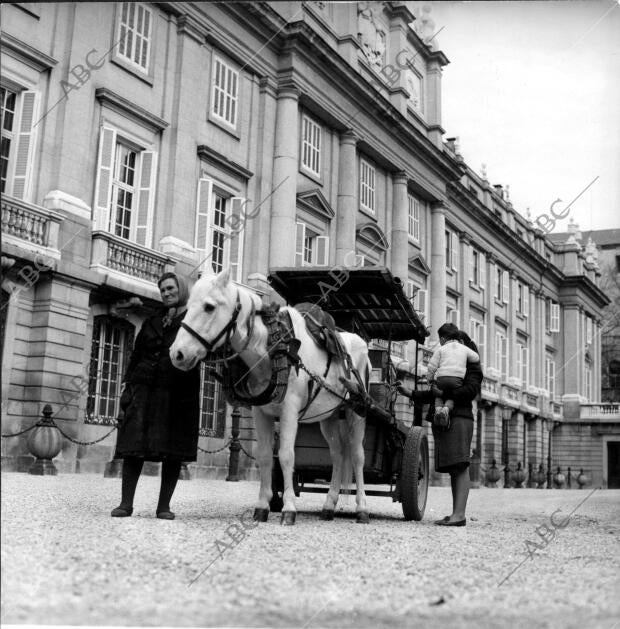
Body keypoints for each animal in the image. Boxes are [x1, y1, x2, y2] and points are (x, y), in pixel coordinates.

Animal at [167, 268, 370, 524]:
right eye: (188, 305)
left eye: (209, 307)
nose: (177, 353)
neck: (272, 349)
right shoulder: (260, 412)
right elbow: (264, 456)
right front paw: (262, 506)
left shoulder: (289, 412)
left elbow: (286, 456)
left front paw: (289, 509)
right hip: (329, 416)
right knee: (338, 455)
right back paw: (329, 505)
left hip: (357, 413)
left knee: (357, 456)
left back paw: (362, 508)